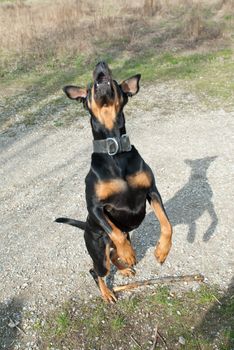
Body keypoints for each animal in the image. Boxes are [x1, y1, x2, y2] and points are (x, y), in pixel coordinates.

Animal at [54, 63, 172, 304]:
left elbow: (167, 224)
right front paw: (130, 254)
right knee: (96, 270)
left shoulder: (152, 191)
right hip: (99, 250)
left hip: (116, 242)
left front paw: (161, 252)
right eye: (90, 87)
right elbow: (116, 234)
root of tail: (86, 227)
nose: (100, 64)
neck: (115, 149)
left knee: (115, 255)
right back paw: (108, 292)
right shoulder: (95, 207)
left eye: (115, 82)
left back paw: (125, 268)